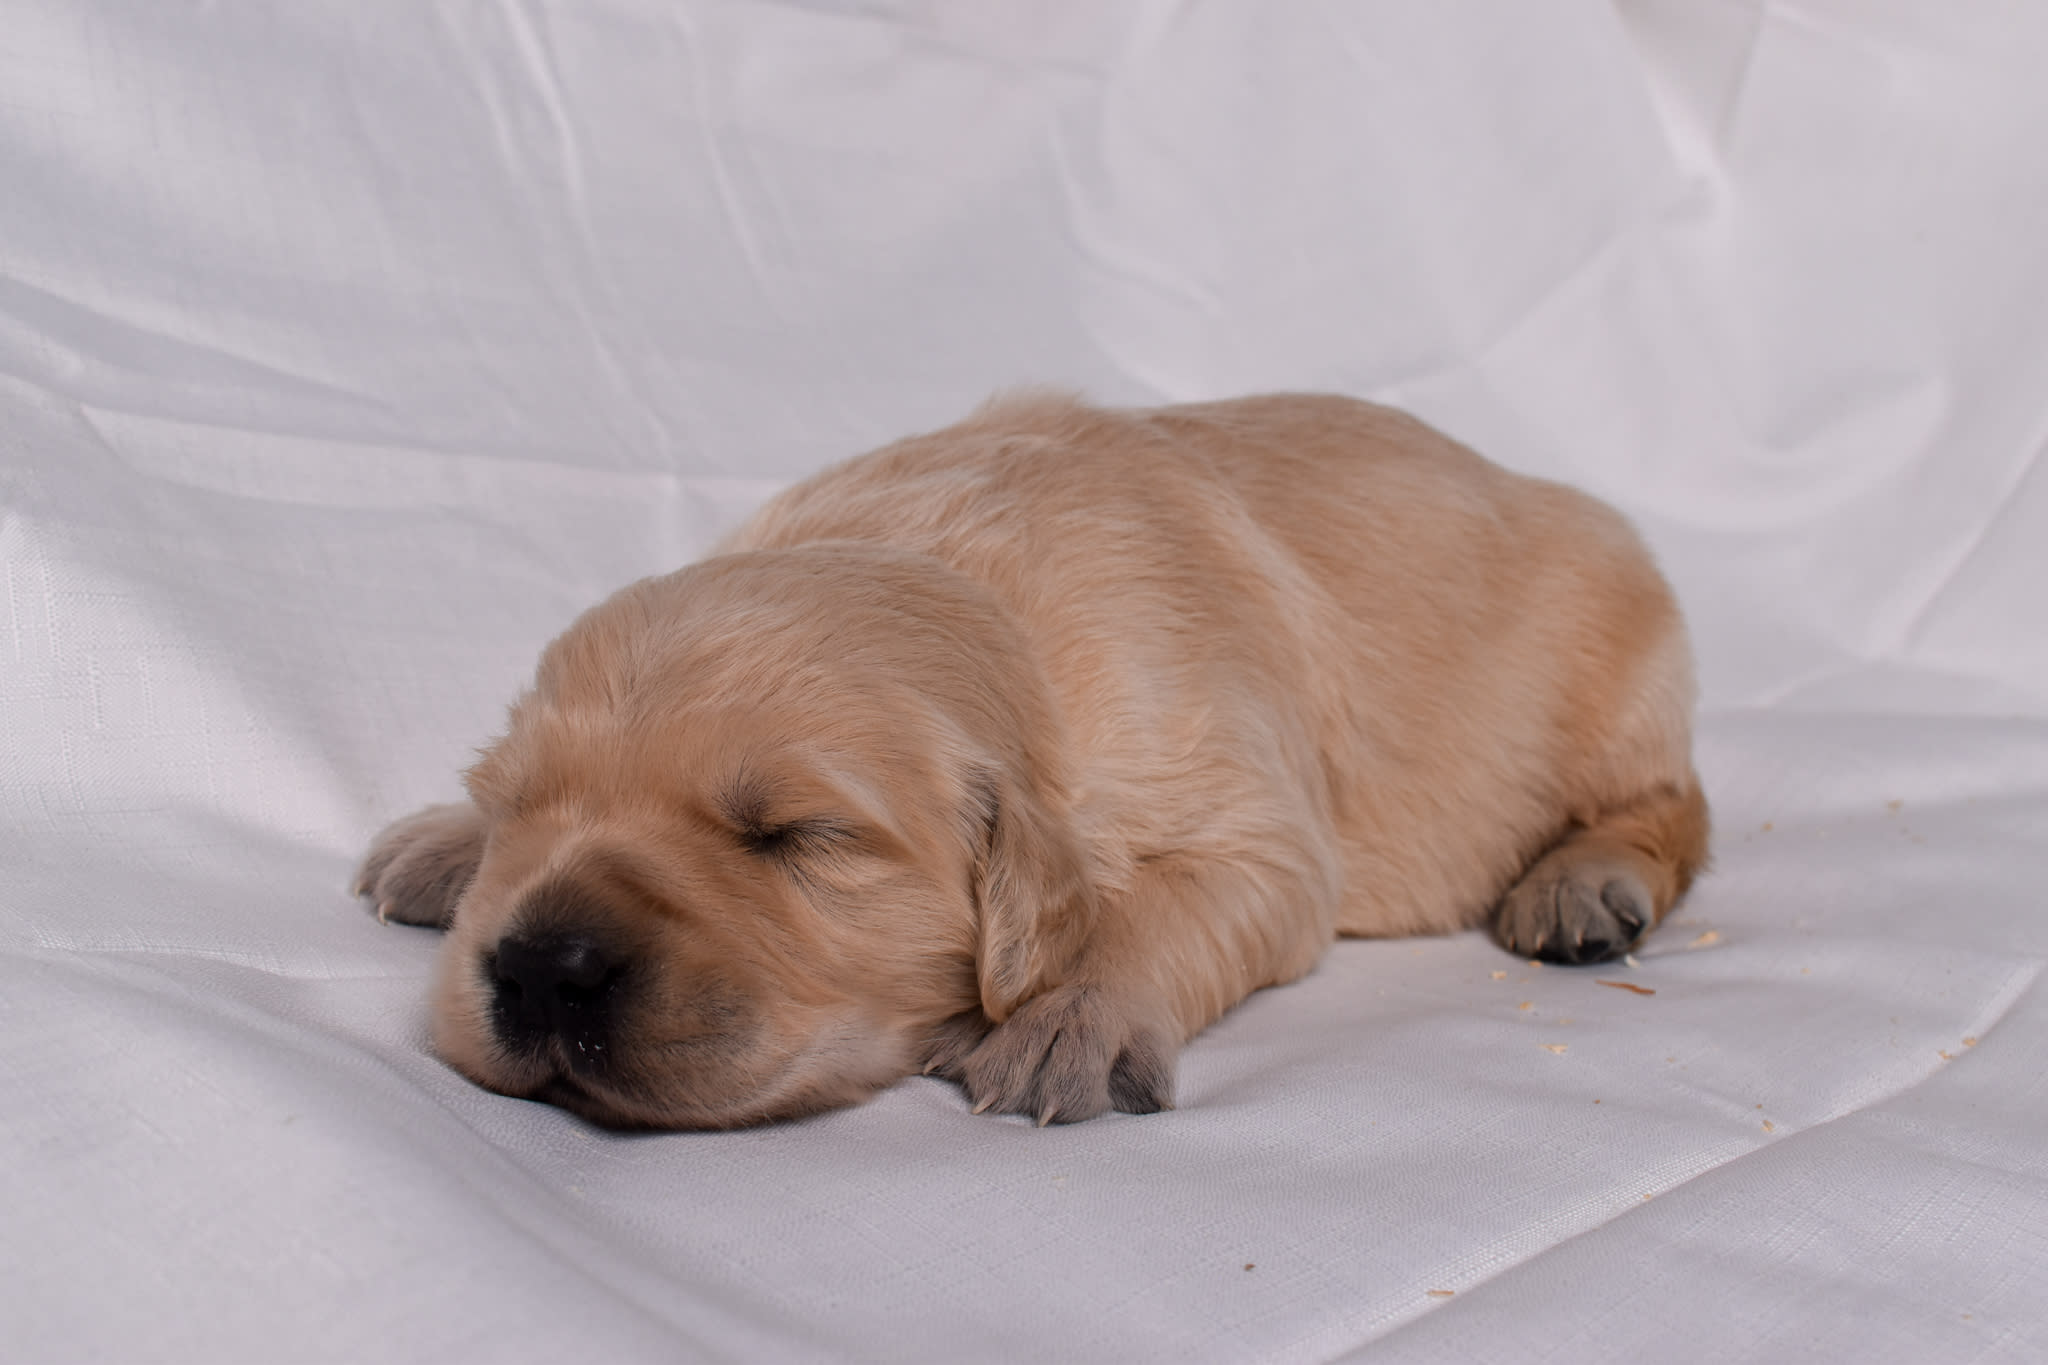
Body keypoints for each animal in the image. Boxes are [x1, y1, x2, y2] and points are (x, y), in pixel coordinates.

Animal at [356, 392, 1712, 1129]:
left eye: (799, 837)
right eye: (514, 802)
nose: (539, 966)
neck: (944, 569)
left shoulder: (1255, 827)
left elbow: (1163, 907)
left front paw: (1072, 1014)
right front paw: (442, 842)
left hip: (1620, 663)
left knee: (1671, 807)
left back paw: (1581, 884)